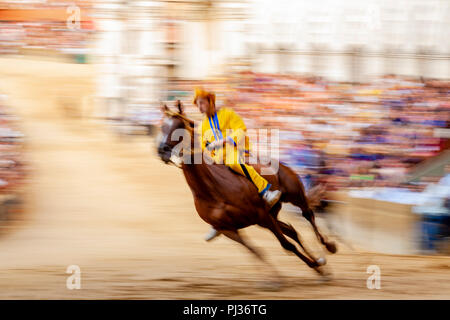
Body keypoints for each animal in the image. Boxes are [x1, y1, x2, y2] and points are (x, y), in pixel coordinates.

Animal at [156, 101, 336, 282]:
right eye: (162, 125)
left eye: (179, 126)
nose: (161, 150)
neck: (213, 191)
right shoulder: (228, 228)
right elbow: (255, 251)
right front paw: (276, 277)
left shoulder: (261, 214)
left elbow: (286, 244)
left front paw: (314, 264)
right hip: (271, 214)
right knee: (292, 231)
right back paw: (319, 264)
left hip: (294, 195)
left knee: (308, 214)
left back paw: (328, 247)